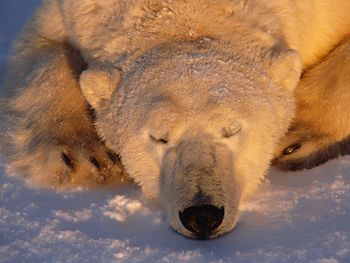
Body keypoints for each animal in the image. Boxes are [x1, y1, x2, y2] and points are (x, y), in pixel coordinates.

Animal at [0, 0, 350, 239]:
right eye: (159, 137)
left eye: (231, 130)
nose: (202, 214)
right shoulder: (75, 13)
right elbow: (42, 47)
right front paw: (83, 157)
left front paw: (298, 138)